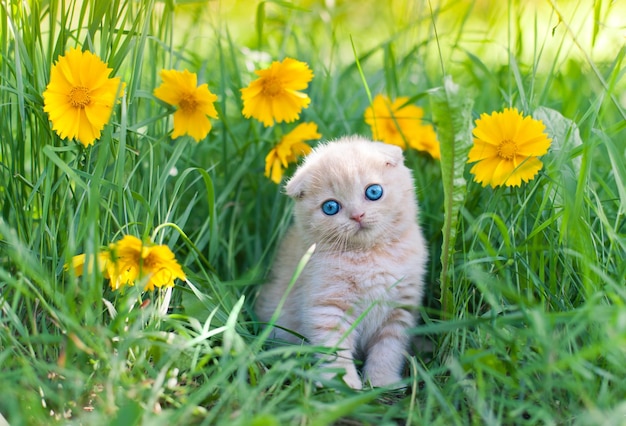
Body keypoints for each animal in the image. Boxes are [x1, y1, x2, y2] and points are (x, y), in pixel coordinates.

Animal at [252, 136, 424, 390]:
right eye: (330, 207)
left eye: (373, 191)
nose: (357, 215)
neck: (369, 255)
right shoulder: (327, 307)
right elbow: (335, 348)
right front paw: (343, 383)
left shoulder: (400, 308)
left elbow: (388, 349)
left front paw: (382, 382)